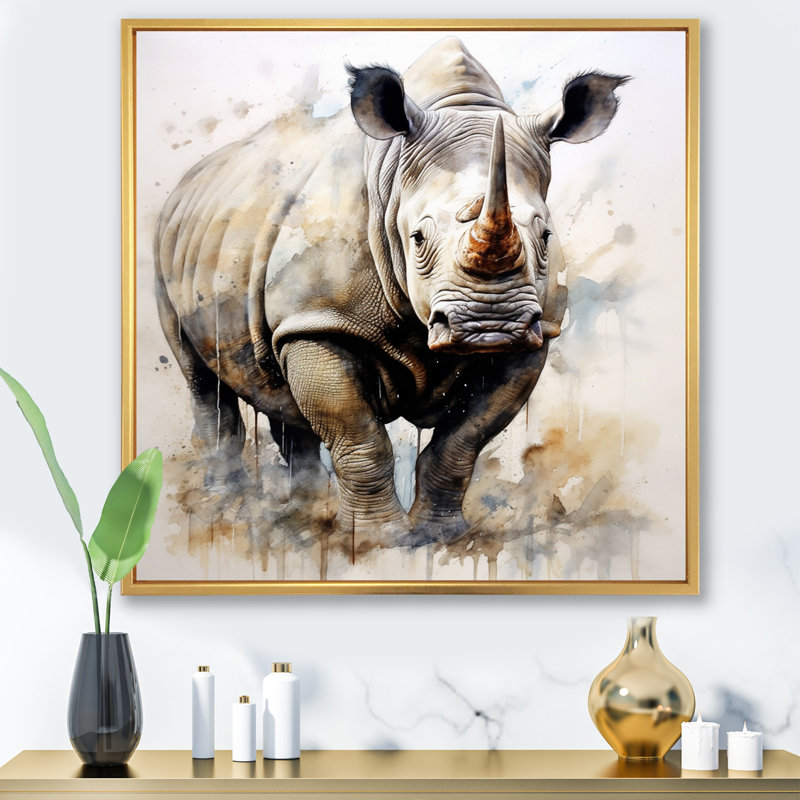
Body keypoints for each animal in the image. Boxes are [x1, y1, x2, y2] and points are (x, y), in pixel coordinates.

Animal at [155, 37, 627, 546]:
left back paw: (305, 515)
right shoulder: (319, 320)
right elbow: (360, 439)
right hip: (167, 245)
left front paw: (440, 538)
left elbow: (462, 442)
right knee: (201, 379)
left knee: (278, 392)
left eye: (545, 236)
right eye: (417, 238)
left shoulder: (536, 336)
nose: (490, 327)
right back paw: (227, 509)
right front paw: (378, 542)